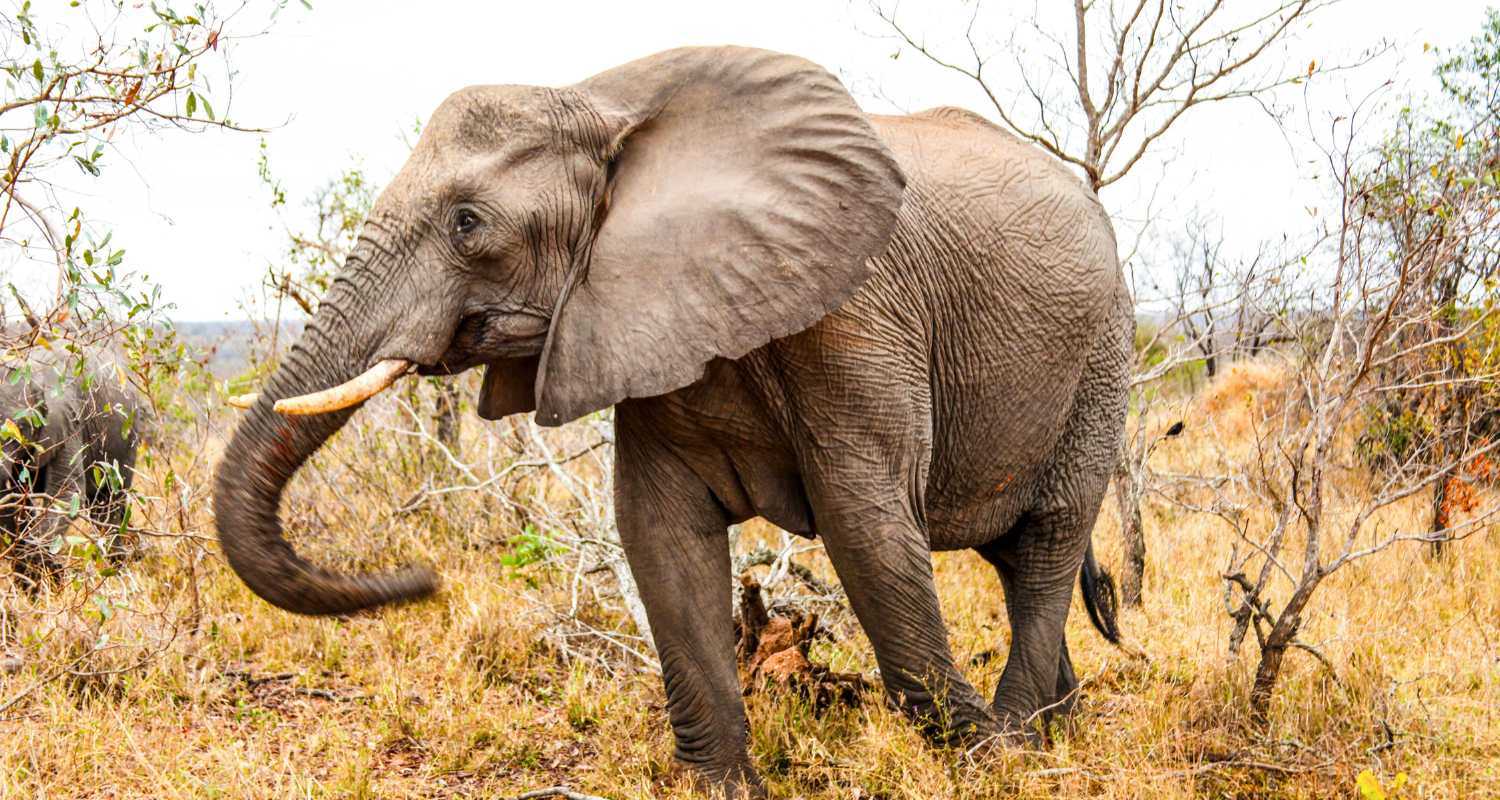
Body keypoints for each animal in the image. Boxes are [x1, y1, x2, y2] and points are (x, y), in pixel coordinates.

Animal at [1, 355, 142, 585]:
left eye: (20, 429)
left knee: (107, 508)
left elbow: (67, 492)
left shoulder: (68, 422)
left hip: (124, 441)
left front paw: (50, 573)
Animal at [211, 46, 1128, 792]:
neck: (601, 101)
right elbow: (659, 530)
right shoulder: (641, 314)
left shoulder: (859, 313)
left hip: (1101, 356)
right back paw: (1057, 730)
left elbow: (865, 525)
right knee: (1015, 557)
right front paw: (721, 787)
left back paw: (1020, 742)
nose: (425, 580)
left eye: (468, 224)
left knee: (1048, 541)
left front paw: (977, 759)